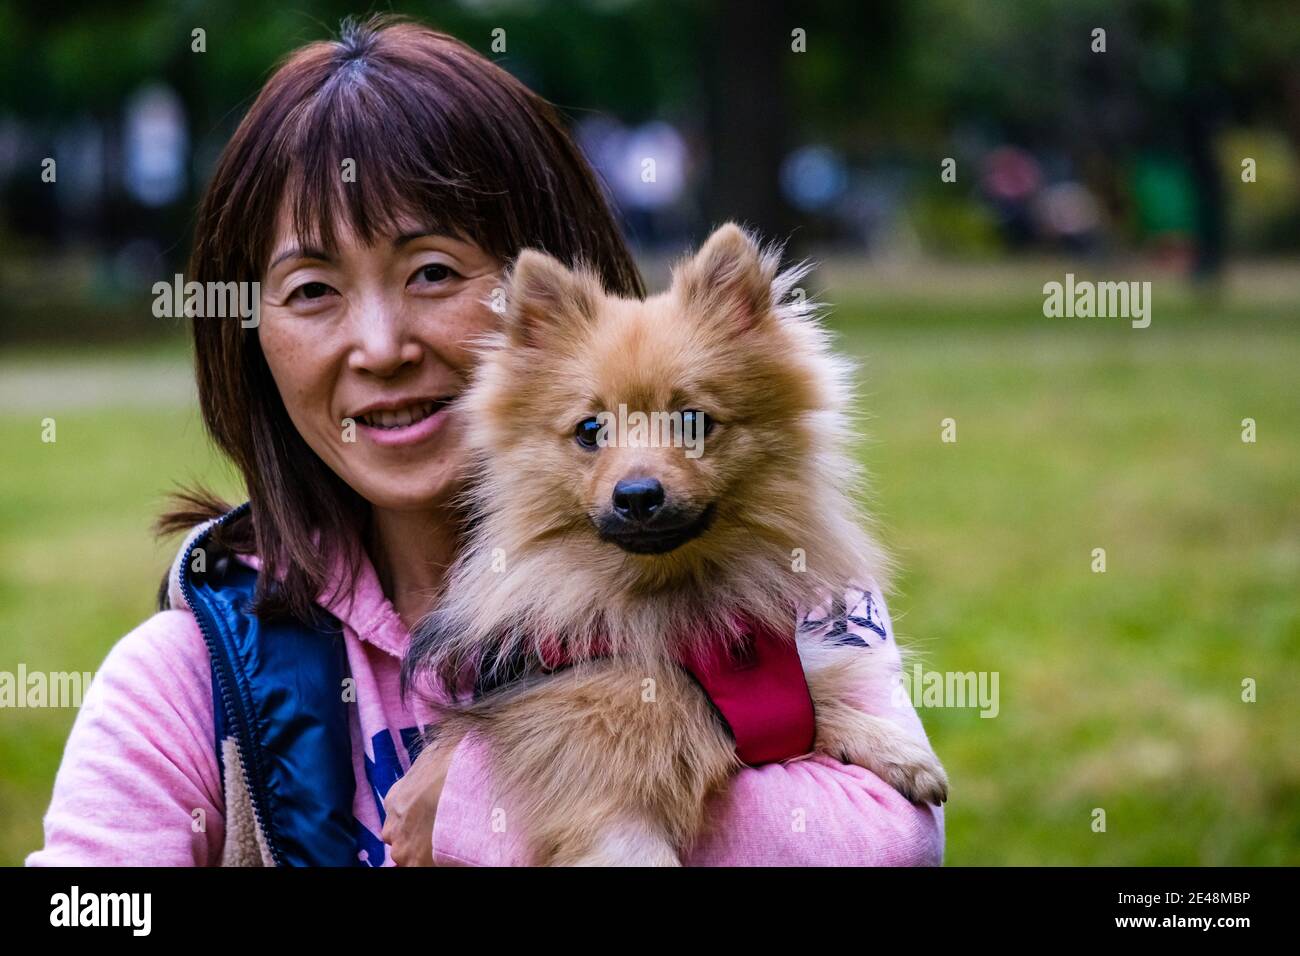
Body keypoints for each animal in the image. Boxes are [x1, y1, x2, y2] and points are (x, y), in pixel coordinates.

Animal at [403, 223, 946, 868]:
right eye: (590, 431)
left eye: (693, 421)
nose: (637, 494)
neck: (674, 603)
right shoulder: (608, 801)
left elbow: (816, 705)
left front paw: (895, 748)